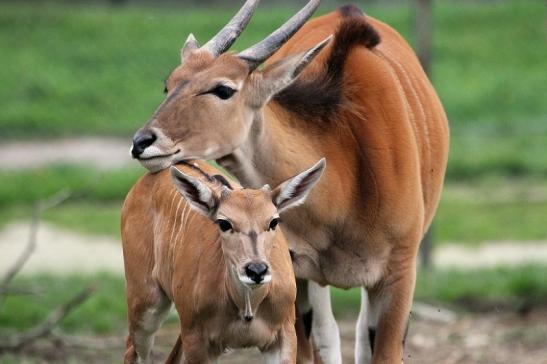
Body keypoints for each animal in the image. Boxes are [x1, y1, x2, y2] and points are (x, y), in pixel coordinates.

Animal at [120, 159, 326, 364]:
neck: (247, 310)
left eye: (274, 221)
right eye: (224, 223)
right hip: (145, 300)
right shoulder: (197, 339)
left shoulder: (284, 336)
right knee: (133, 349)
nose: (256, 271)